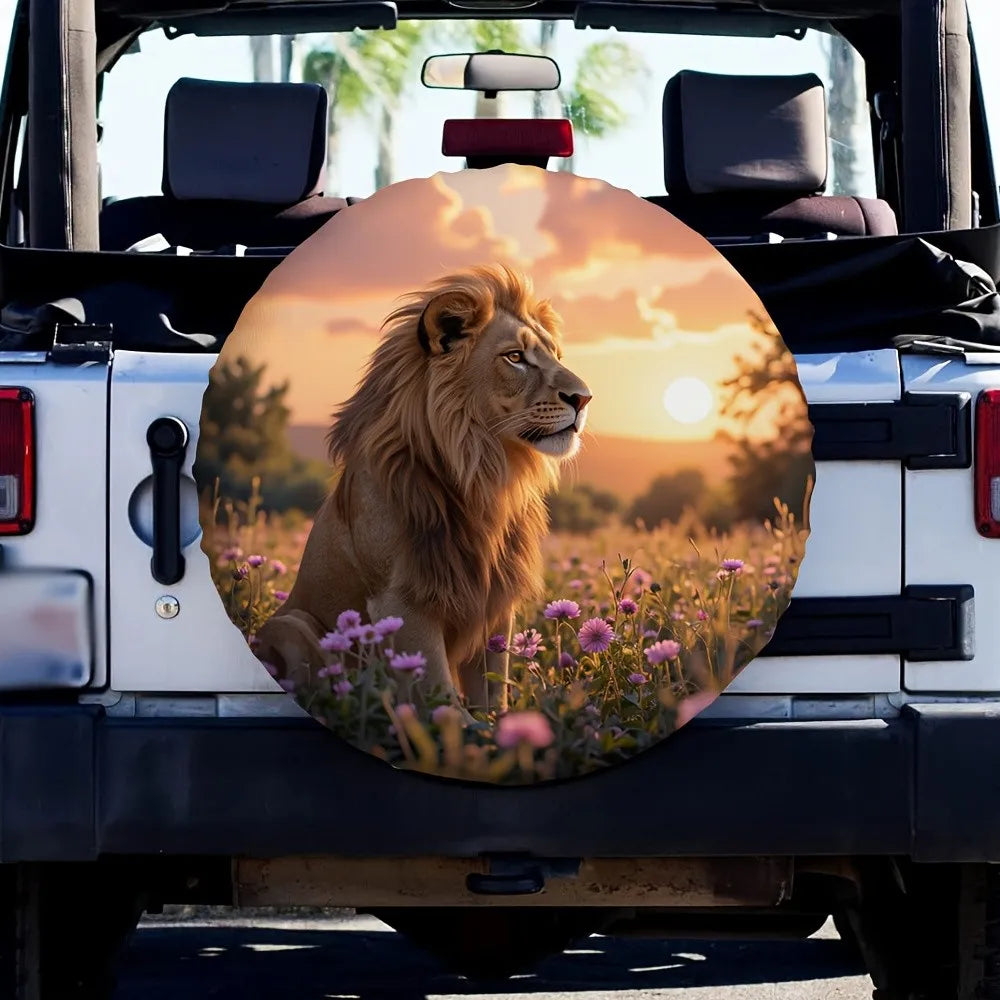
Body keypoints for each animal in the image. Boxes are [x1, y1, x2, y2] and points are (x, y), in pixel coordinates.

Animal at [254, 263, 592, 716]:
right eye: (515, 357)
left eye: (555, 355)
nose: (584, 398)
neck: (482, 472)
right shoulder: (402, 602)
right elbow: (442, 699)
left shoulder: (494, 601)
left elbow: (493, 691)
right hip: (290, 625)